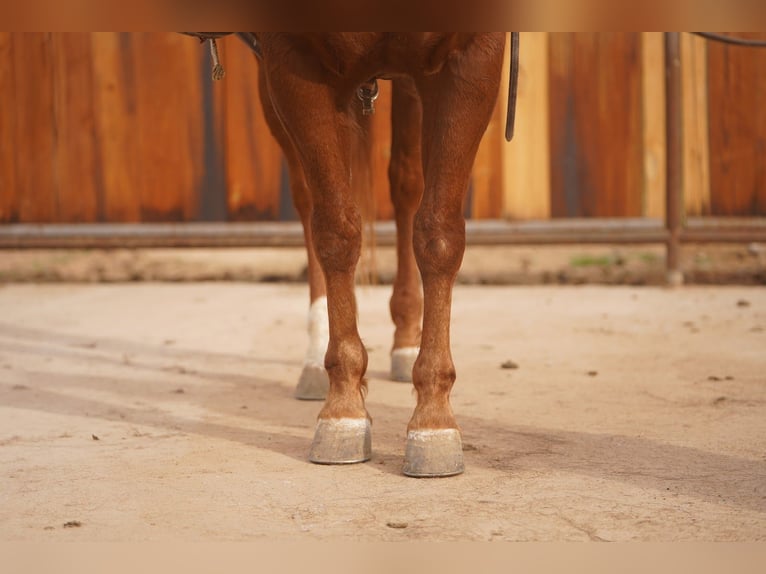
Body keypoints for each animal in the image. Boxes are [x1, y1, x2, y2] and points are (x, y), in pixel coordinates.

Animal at [186, 33, 510, 477]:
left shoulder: (471, 59)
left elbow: (438, 233)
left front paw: (433, 419)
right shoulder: (292, 64)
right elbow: (336, 232)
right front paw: (343, 411)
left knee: (407, 184)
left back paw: (405, 338)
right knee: (310, 200)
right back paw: (315, 359)